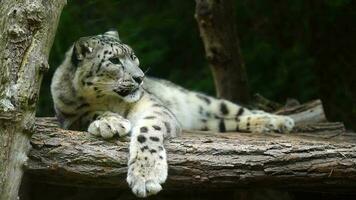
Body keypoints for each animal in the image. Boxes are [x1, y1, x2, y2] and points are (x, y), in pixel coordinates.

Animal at [50, 30, 294, 198]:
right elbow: (89, 114)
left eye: (133, 56)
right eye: (114, 60)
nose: (140, 77)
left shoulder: (153, 107)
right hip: (211, 123)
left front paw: (146, 176)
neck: (109, 99)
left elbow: (147, 131)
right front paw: (110, 122)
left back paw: (278, 121)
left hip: (207, 102)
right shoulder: (69, 115)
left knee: (237, 110)